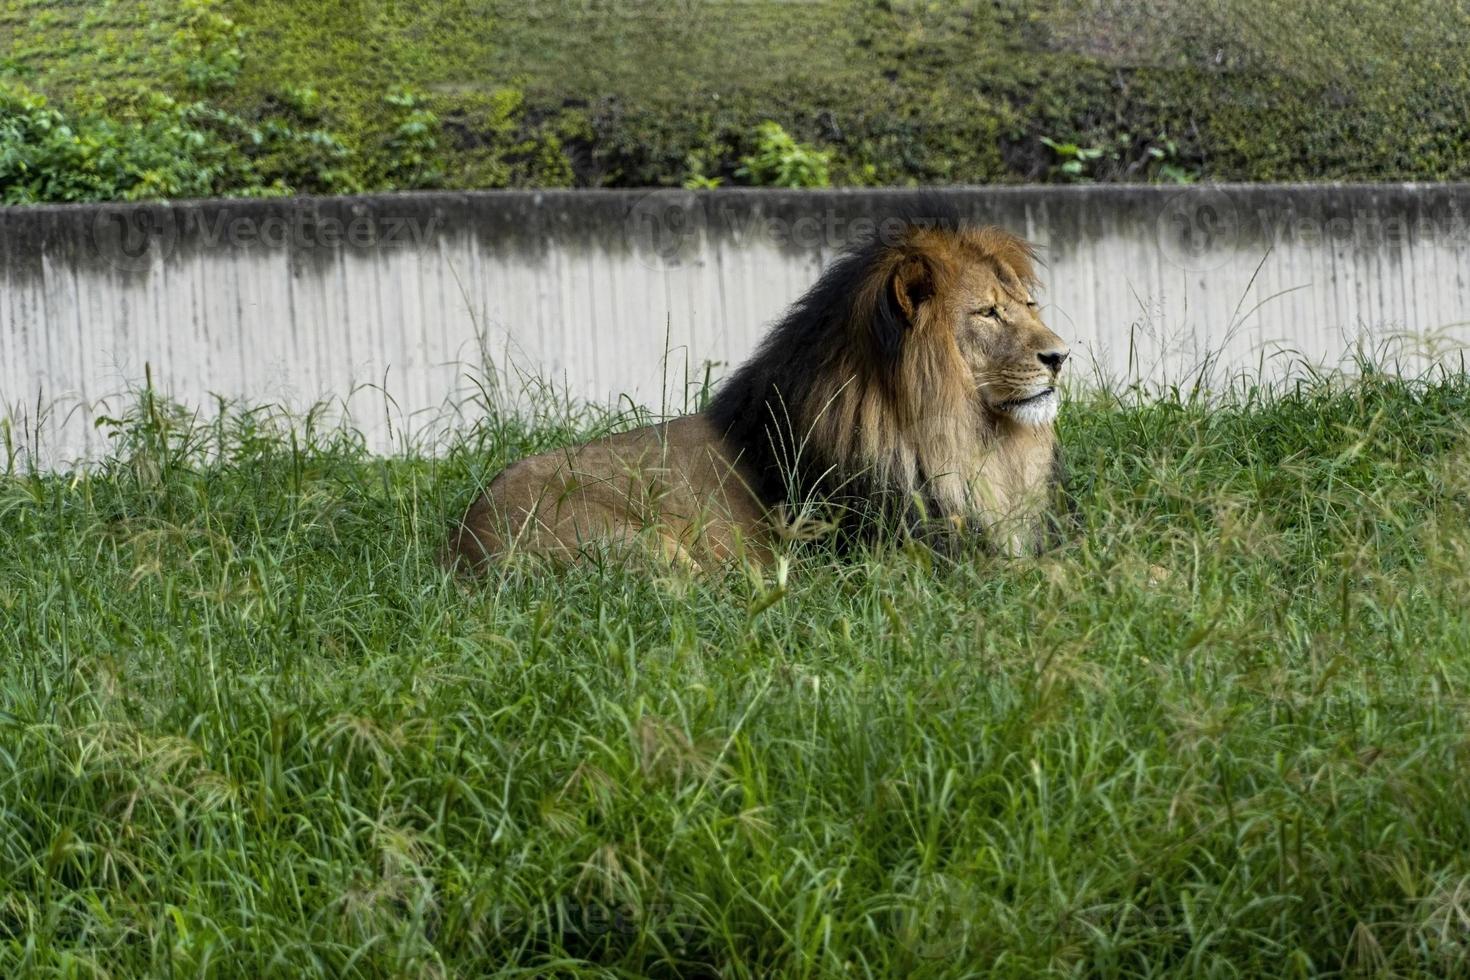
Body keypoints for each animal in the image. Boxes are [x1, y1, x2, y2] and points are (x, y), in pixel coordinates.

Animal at [443, 211, 1070, 570]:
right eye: (988, 312)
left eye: (1028, 305)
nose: (1062, 356)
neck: (962, 437)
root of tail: (460, 550)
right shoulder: (899, 562)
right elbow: (1051, 575)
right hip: (647, 550)